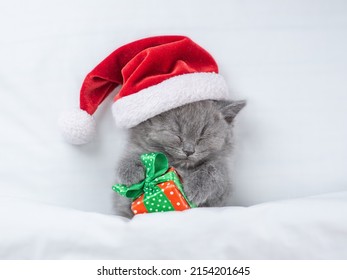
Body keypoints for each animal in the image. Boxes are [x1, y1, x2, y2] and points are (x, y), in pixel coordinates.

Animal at [113, 99, 245, 218]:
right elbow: (132, 155)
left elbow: (215, 169)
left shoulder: (223, 188)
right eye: (177, 133)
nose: (189, 151)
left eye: (202, 136)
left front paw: (196, 187)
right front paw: (131, 173)